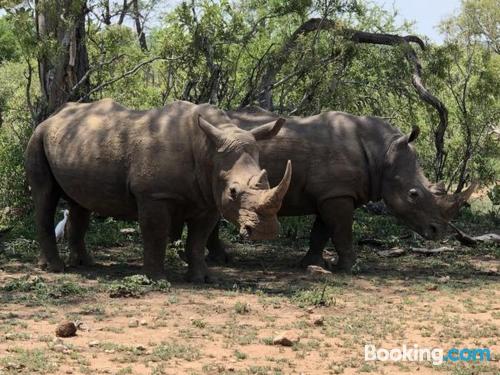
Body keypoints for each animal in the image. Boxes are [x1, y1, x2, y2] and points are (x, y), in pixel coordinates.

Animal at [25, 100, 292, 282]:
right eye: (233, 192)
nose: (266, 231)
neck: (208, 151)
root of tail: (51, 117)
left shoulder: (208, 199)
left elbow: (198, 239)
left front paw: (203, 278)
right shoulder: (153, 194)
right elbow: (156, 233)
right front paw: (155, 279)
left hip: (74, 144)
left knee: (79, 203)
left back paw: (84, 264)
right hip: (37, 137)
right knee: (45, 198)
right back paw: (55, 268)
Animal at [201, 106, 474, 270]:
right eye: (413, 194)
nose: (438, 231)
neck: (383, 153)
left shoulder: (330, 193)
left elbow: (322, 232)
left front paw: (311, 263)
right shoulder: (337, 194)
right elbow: (342, 230)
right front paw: (350, 267)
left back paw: (219, 259)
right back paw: (221, 261)